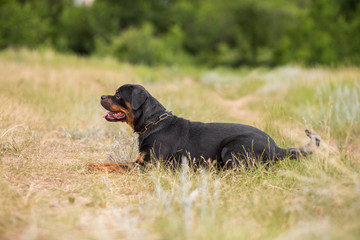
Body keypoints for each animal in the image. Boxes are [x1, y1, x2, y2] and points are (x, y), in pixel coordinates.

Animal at [88, 83, 320, 172]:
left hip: (231, 149)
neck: (153, 122)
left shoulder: (149, 166)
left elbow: (117, 165)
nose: (101, 96)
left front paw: (92, 165)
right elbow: (113, 162)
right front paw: (93, 163)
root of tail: (276, 147)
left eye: (118, 94)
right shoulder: (140, 161)